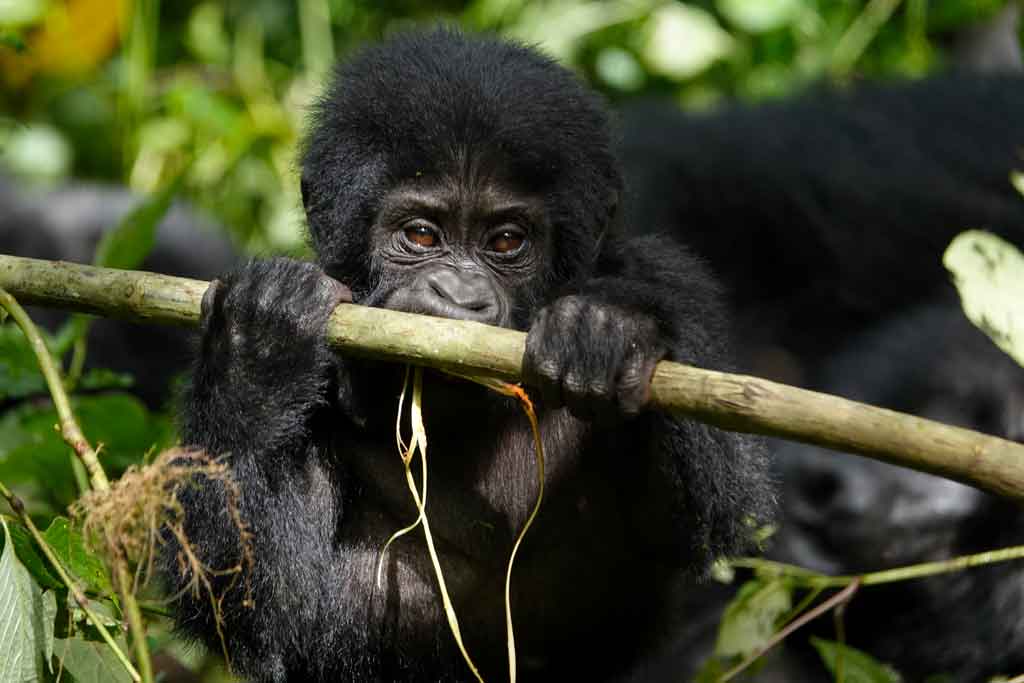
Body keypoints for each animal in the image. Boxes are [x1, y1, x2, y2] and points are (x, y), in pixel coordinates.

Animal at [159, 28, 770, 683]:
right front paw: (260, 342)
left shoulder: (668, 277)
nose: (458, 295)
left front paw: (613, 328)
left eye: (506, 241)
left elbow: (714, 519)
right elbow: (260, 604)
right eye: (422, 235)